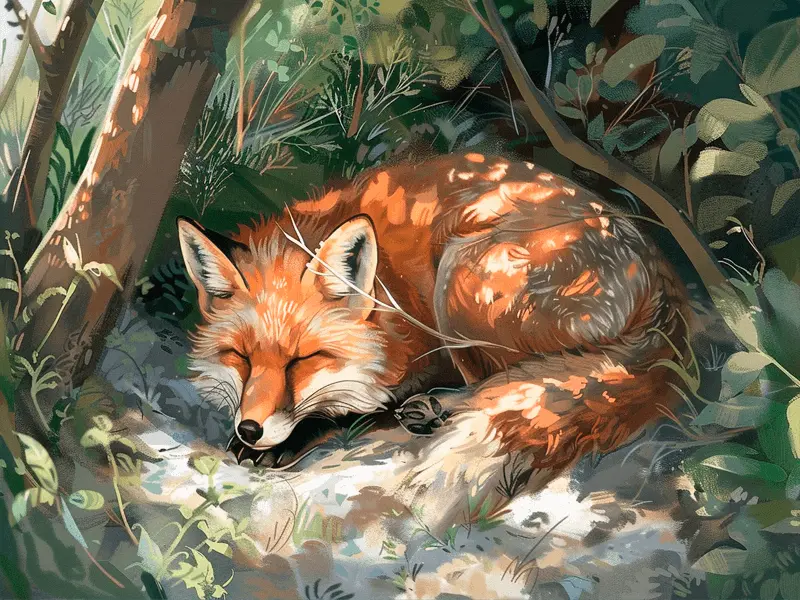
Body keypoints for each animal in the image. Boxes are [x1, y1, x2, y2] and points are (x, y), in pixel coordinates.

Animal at [177, 152, 690, 473]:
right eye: (241, 357)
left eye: (304, 359)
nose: (249, 428)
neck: (386, 302)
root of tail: (661, 272)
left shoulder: (423, 351)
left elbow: (365, 407)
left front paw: (300, 434)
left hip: (459, 276)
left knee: (518, 378)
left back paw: (438, 408)